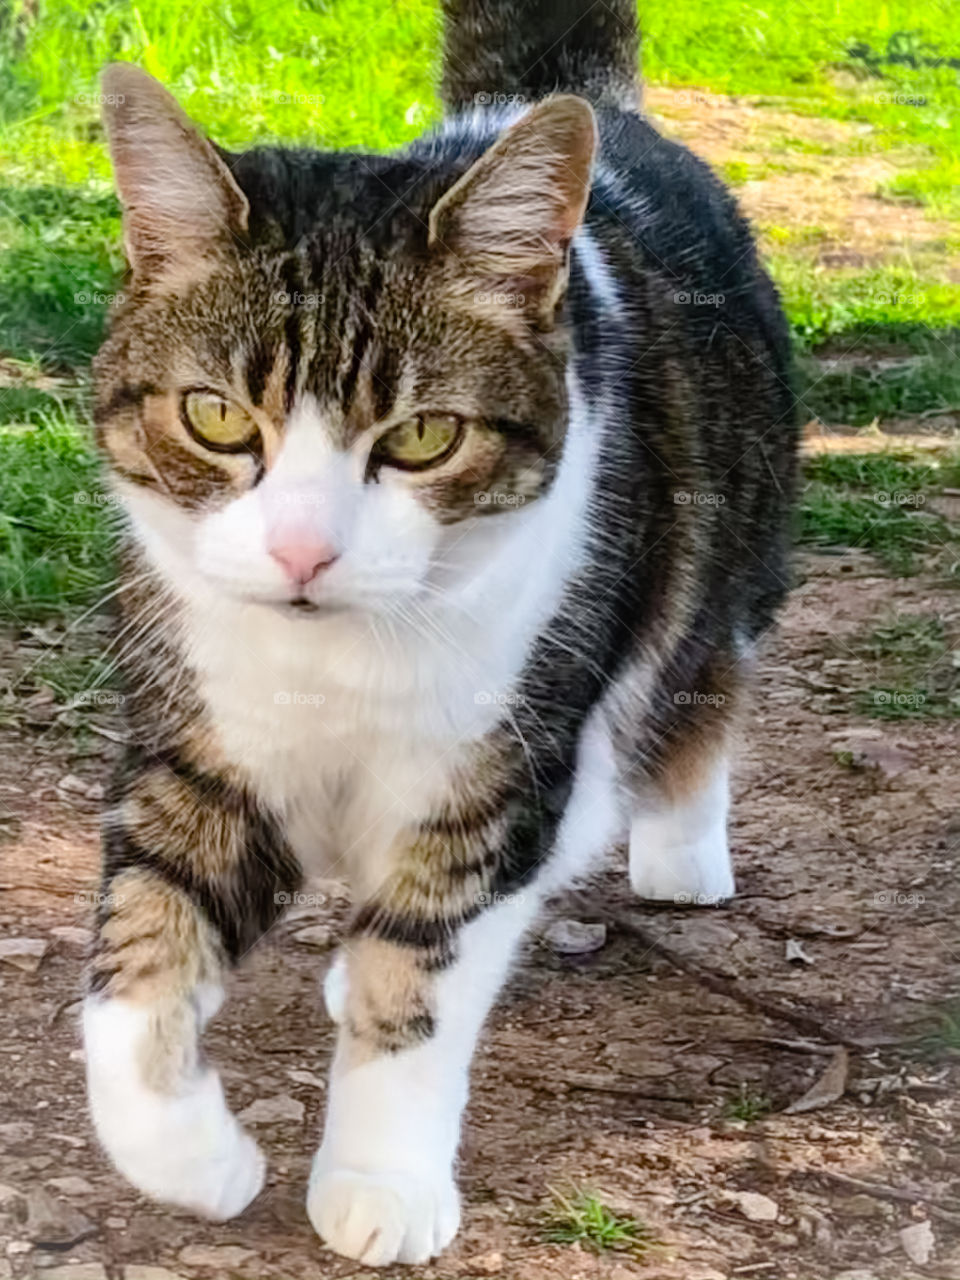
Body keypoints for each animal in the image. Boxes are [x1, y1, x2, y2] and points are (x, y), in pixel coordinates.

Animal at [82, 0, 798, 1259]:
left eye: (422, 437)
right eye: (215, 416)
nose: (303, 551)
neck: (329, 659)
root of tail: (582, 104)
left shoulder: (498, 769)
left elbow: (419, 978)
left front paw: (382, 1175)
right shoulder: (199, 738)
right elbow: (141, 947)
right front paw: (193, 1157)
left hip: (719, 545)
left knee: (700, 675)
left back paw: (680, 845)